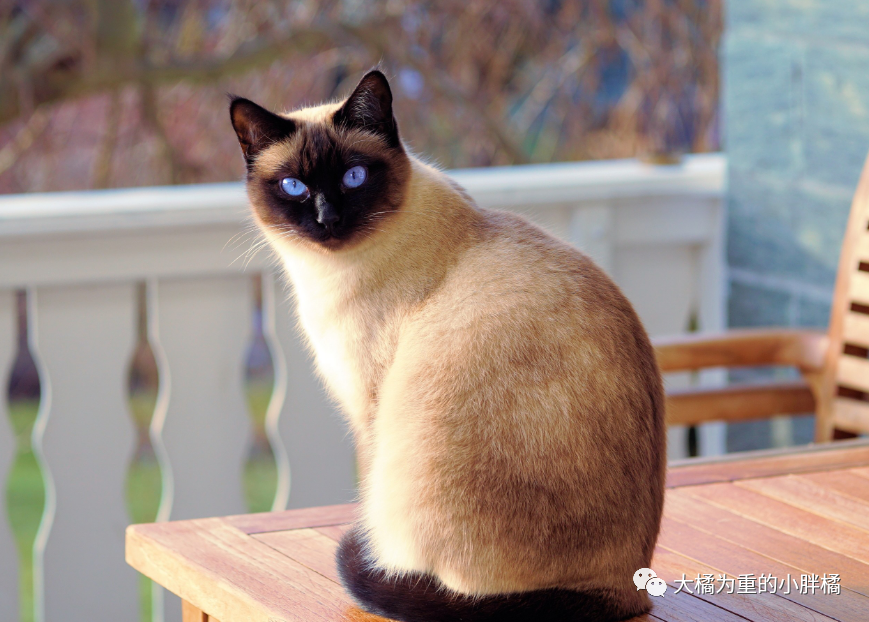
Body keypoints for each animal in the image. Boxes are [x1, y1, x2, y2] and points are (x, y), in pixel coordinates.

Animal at [229, 69, 664, 622]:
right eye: (294, 187)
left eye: (354, 177)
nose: (327, 220)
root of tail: (628, 590)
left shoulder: (369, 409)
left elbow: (368, 495)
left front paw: (373, 551)